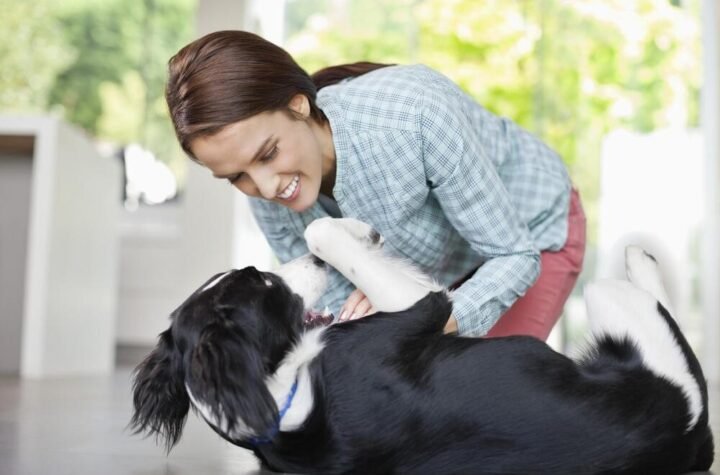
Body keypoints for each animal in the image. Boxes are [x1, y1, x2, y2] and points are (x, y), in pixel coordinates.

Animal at [131, 218, 716, 474]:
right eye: (264, 283)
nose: (313, 266)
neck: (286, 401)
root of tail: (693, 439)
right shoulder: (424, 306)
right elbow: (328, 231)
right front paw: (353, 232)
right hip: (624, 317)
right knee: (649, 298)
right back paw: (643, 252)